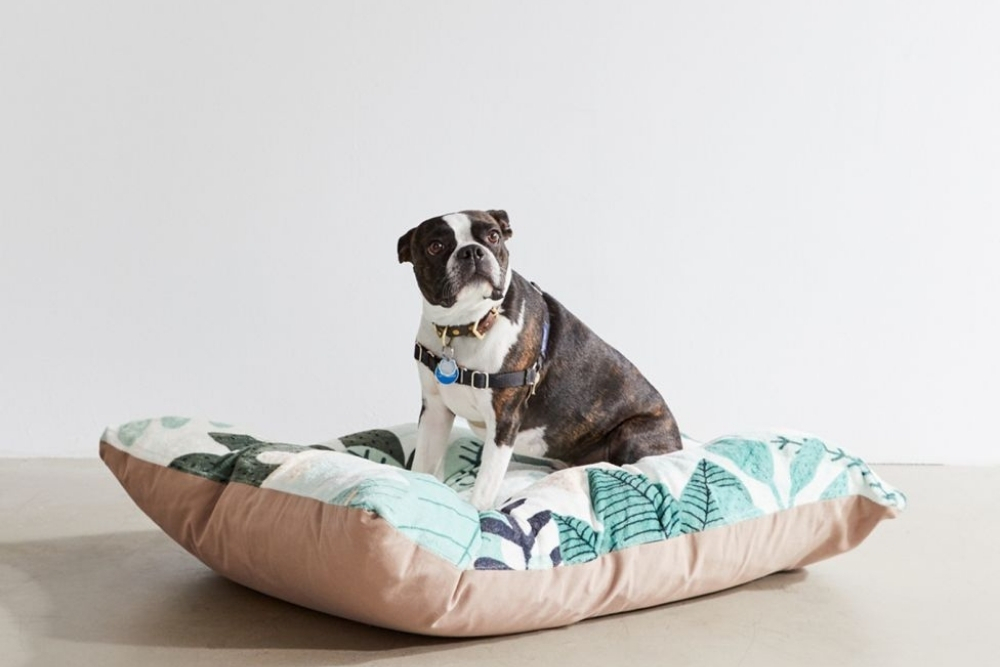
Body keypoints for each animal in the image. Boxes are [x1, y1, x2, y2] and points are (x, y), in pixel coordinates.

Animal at [396, 210, 680, 512]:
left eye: (493, 236)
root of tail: (678, 440)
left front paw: (476, 513)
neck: (466, 325)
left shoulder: (504, 419)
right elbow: (423, 465)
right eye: (435, 246)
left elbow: (485, 484)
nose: (471, 251)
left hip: (632, 434)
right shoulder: (435, 410)